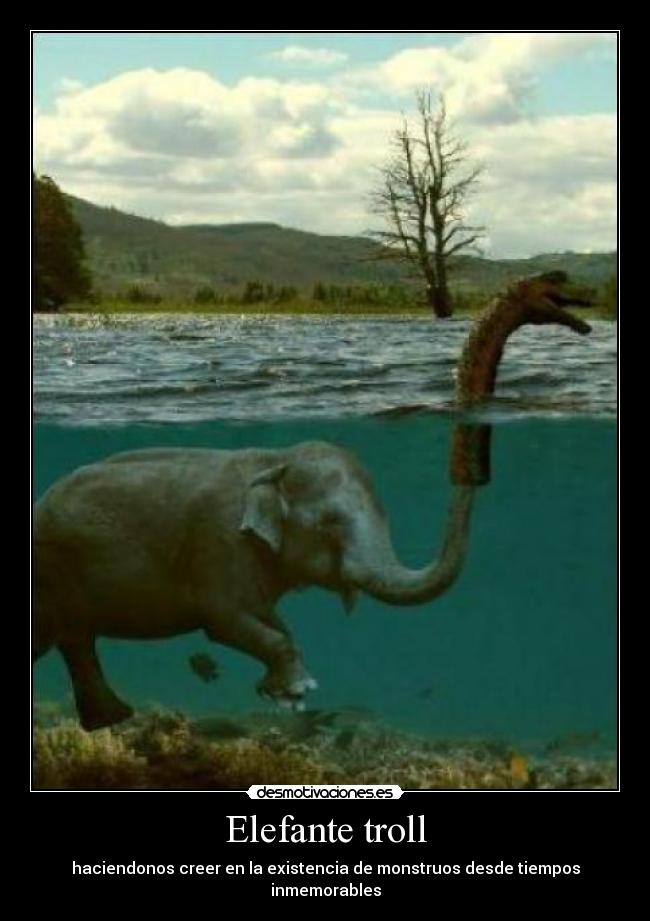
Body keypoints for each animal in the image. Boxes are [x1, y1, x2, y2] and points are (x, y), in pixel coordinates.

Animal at [33, 271, 592, 731]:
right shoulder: (217, 548)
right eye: (330, 525)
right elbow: (225, 621)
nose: (583, 308)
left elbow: (270, 619)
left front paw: (283, 693)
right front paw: (297, 692)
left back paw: (111, 721)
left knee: (73, 640)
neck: (272, 460)